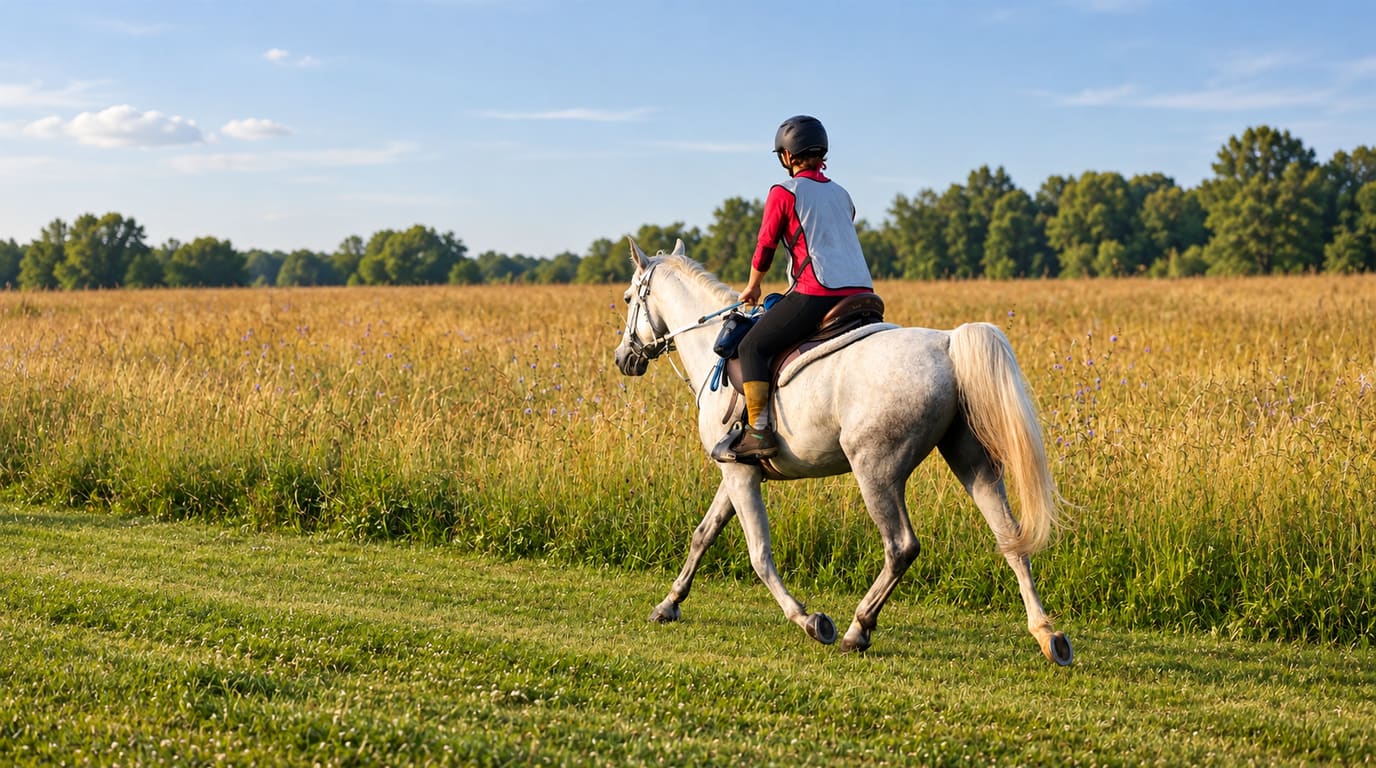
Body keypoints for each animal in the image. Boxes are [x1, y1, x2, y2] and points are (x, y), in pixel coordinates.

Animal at [613, 238, 1072, 664]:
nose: (623, 358)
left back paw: (858, 628)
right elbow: (703, 535)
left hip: (876, 471)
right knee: (1010, 538)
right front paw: (668, 604)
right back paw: (1047, 635)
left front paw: (809, 619)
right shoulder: (738, 470)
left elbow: (759, 554)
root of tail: (947, 343)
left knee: (901, 546)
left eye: (629, 298)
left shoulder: (741, 475)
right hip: (973, 462)